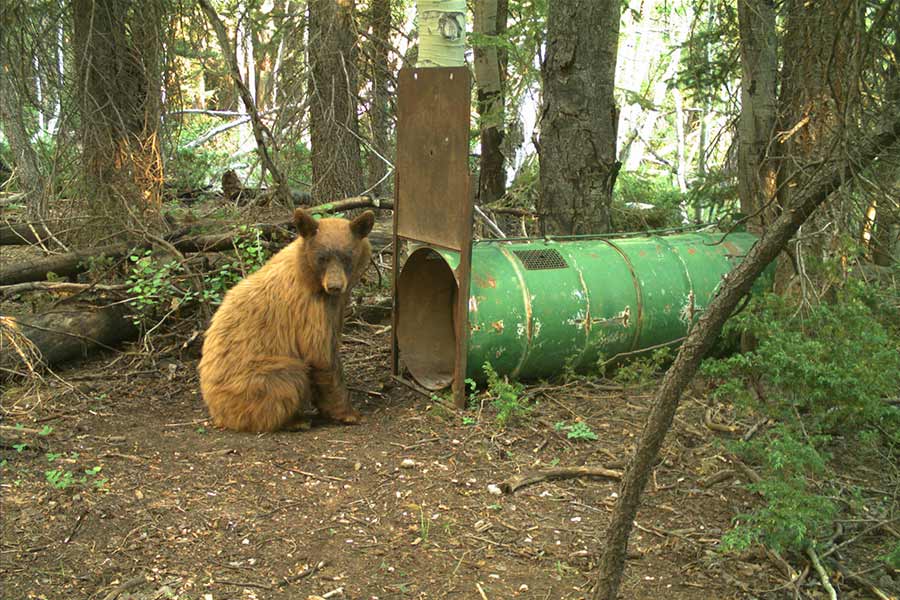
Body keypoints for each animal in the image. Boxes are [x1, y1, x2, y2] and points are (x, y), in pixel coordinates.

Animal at [198, 207, 376, 432]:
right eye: (322, 258)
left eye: (347, 257)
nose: (335, 286)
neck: (308, 272)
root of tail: (217, 414)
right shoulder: (310, 308)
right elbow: (321, 356)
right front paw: (348, 413)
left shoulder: (334, 307)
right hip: (254, 383)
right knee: (291, 377)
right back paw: (296, 420)